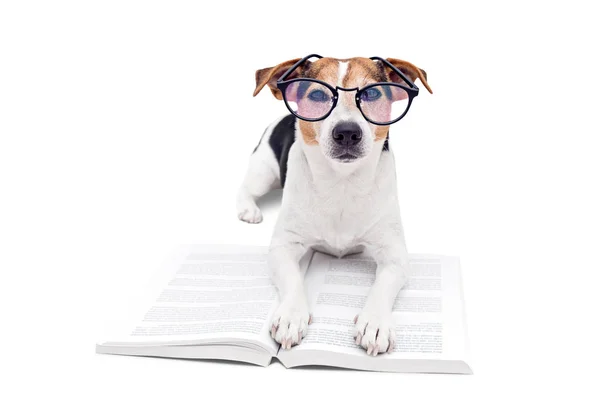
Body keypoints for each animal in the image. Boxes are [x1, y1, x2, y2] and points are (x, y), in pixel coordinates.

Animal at [236, 55, 432, 356]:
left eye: (372, 93)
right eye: (317, 95)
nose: (348, 132)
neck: (342, 181)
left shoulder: (395, 254)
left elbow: (383, 285)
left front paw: (375, 322)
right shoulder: (283, 247)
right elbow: (292, 278)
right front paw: (291, 315)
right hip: (263, 171)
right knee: (246, 188)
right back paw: (249, 210)